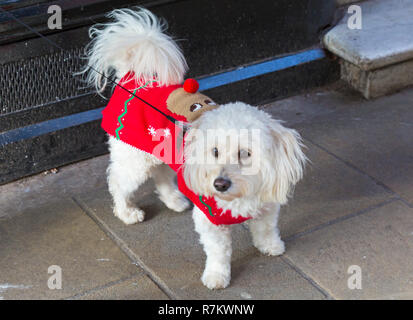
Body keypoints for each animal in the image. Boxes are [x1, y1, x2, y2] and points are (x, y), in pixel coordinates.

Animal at [81, 8, 306, 290]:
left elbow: (265, 229)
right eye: (215, 151)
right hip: (135, 159)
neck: (238, 197)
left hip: (164, 151)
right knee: (118, 182)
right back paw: (126, 212)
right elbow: (218, 252)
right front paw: (217, 276)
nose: (219, 184)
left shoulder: (267, 204)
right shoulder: (210, 221)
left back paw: (174, 200)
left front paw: (270, 246)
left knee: (161, 175)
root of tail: (132, 76)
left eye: (245, 153)